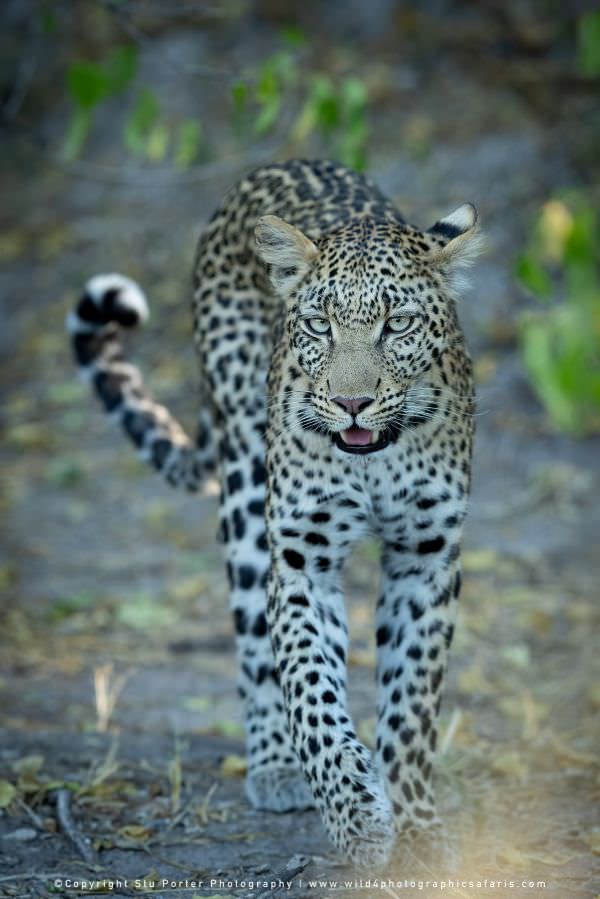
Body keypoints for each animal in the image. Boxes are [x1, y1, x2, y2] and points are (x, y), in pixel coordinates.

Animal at [65, 158, 480, 868]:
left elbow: (411, 702)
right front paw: (355, 817)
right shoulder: (302, 558)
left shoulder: (426, 556)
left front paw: (417, 824)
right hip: (242, 487)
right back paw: (274, 766)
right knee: (256, 647)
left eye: (397, 325)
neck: (376, 456)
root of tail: (273, 167)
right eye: (317, 325)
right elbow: (311, 690)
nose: (350, 403)